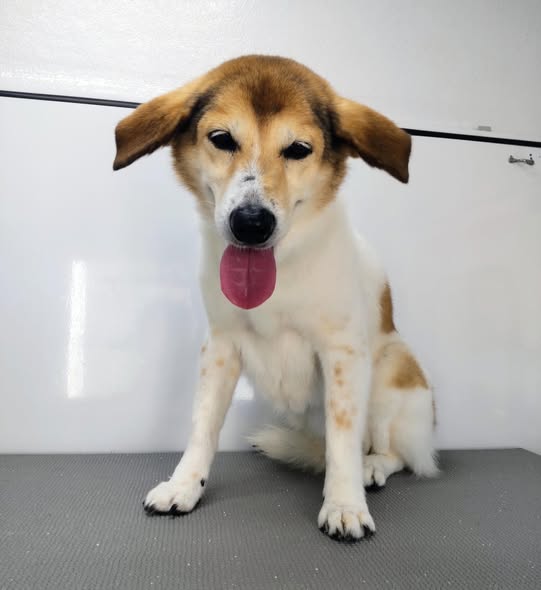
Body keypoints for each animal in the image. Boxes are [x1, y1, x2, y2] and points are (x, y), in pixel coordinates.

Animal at [113, 55, 437, 541]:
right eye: (222, 139)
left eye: (299, 149)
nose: (251, 223)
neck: (280, 270)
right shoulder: (220, 348)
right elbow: (203, 426)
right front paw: (185, 485)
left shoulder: (343, 354)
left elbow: (344, 438)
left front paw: (344, 504)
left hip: (389, 373)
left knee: (394, 454)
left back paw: (371, 468)